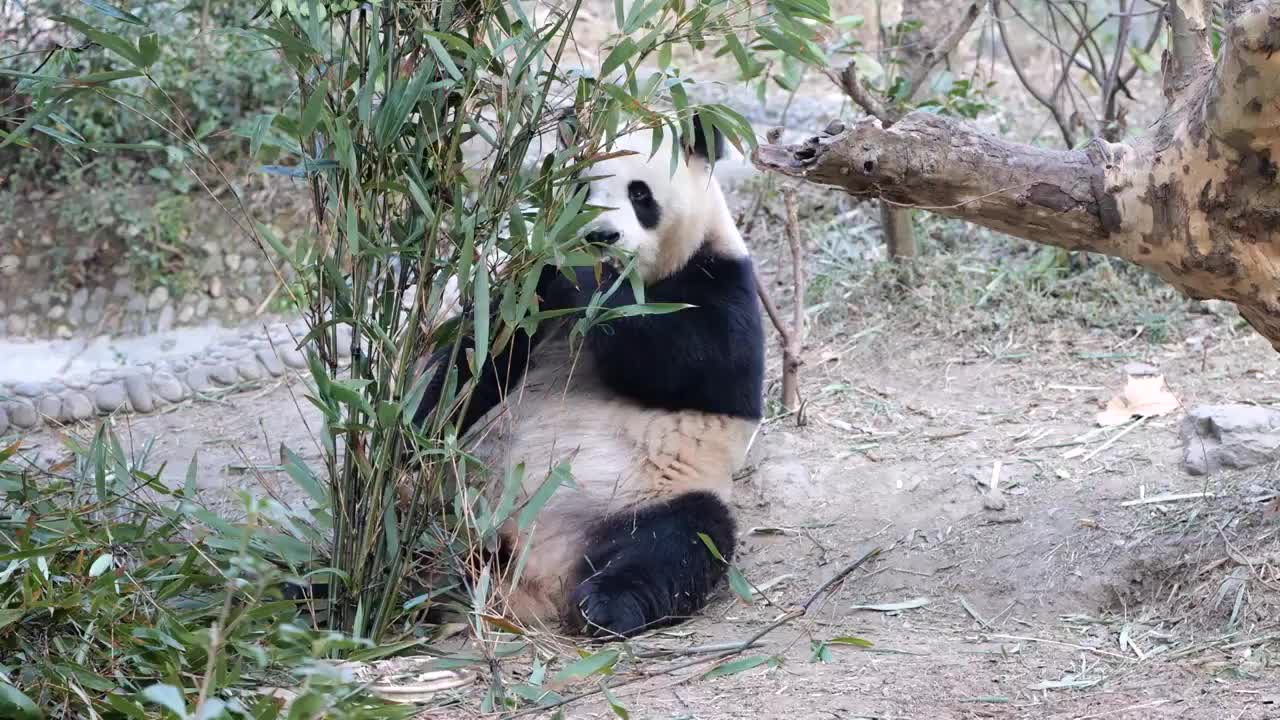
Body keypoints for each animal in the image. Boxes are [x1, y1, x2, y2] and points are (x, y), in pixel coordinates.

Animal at [414, 112, 762, 632]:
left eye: (640, 193)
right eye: (582, 188)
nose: (599, 237)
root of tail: (535, 575)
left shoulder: (722, 279)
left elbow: (701, 363)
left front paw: (595, 288)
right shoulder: (526, 294)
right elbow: (475, 366)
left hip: (649, 495)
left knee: (676, 542)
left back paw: (605, 604)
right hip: (461, 502)